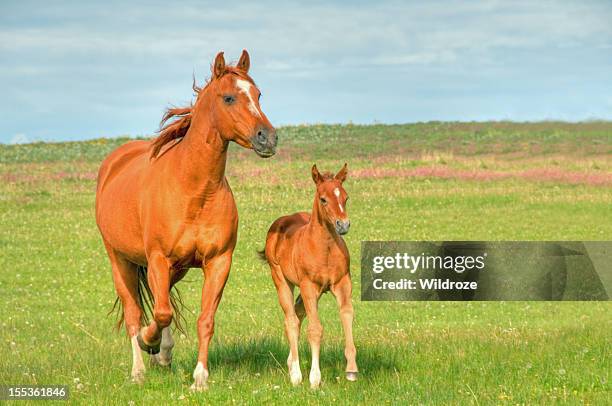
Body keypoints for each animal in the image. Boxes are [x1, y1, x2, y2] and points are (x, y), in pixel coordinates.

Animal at [260, 164, 356, 386]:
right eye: (323, 199)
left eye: (345, 197)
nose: (343, 225)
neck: (325, 248)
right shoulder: (309, 286)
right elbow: (315, 329)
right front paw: (314, 379)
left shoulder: (342, 283)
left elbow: (347, 315)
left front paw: (351, 370)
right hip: (282, 280)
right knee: (291, 320)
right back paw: (295, 374)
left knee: (298, 314)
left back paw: (290, 363)